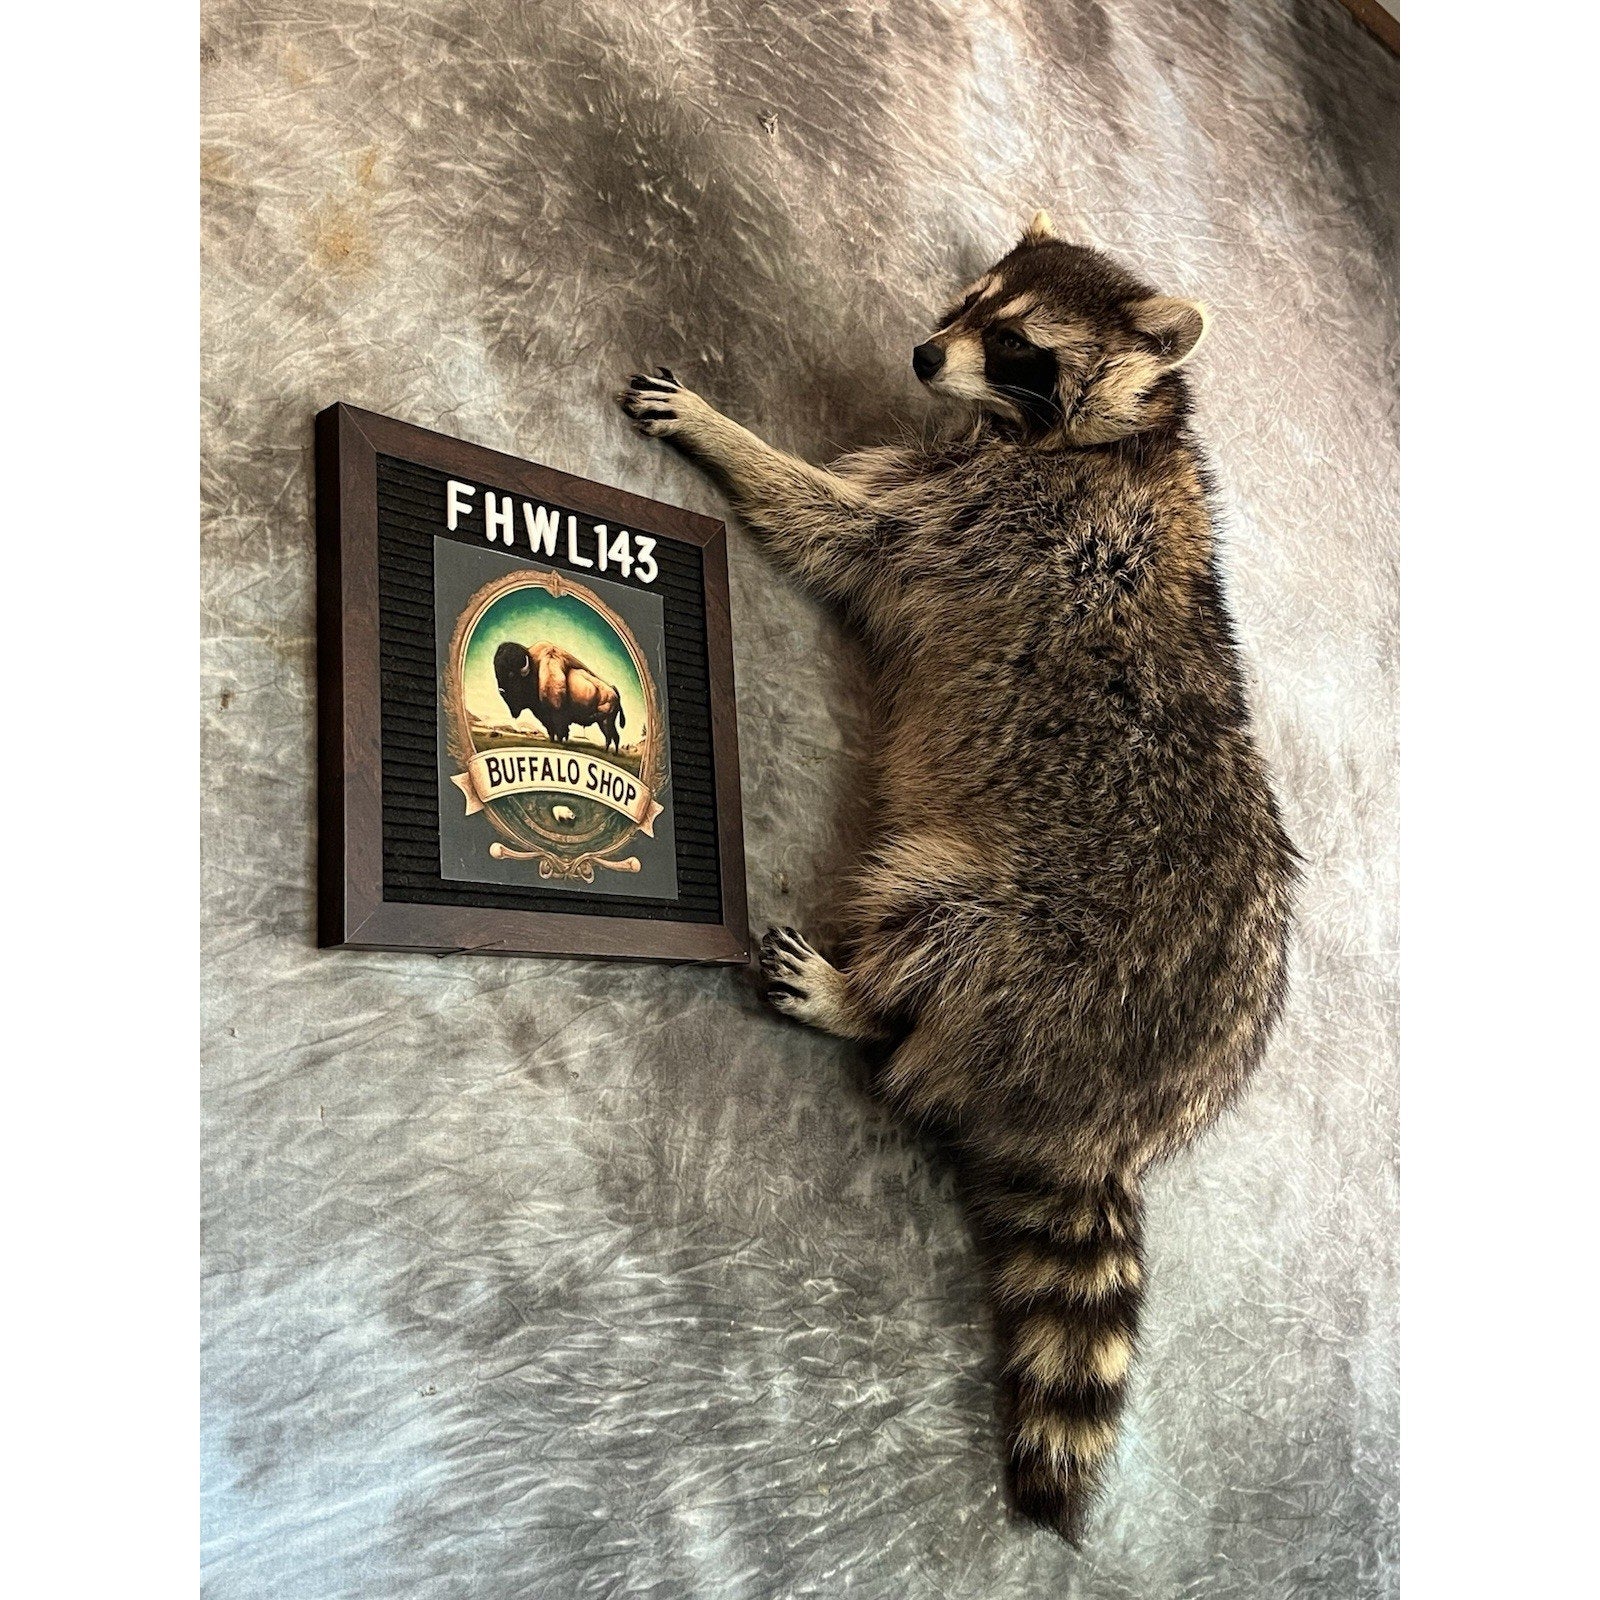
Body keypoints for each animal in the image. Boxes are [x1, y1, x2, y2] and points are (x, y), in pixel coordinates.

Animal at [619, 210, 1297, 1543]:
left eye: (1021, 342)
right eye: (969, 300)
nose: (926, 355)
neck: (1127, 430)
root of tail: (1118, 1119)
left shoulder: (981, 520)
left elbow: (840, 524)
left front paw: (727, 433)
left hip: (1039, 934)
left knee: (938, 921)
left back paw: (865, 995)